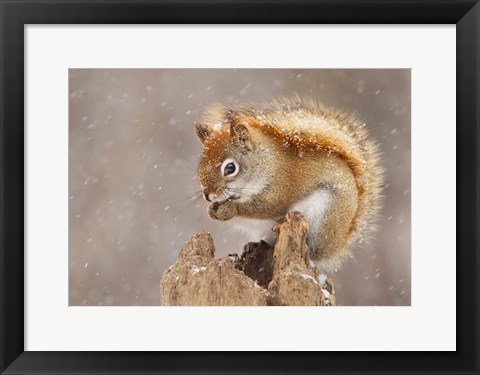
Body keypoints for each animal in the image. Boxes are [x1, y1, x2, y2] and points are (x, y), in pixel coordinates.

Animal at [193, 98, 384, 272]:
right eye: (200, 164)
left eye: (230, 168)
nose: (208, 195)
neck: (266, 163)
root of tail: (338, 245)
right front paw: (212, 210)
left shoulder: (281, 187)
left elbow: (266, 207)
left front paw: (230, 209)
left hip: (324, 218)